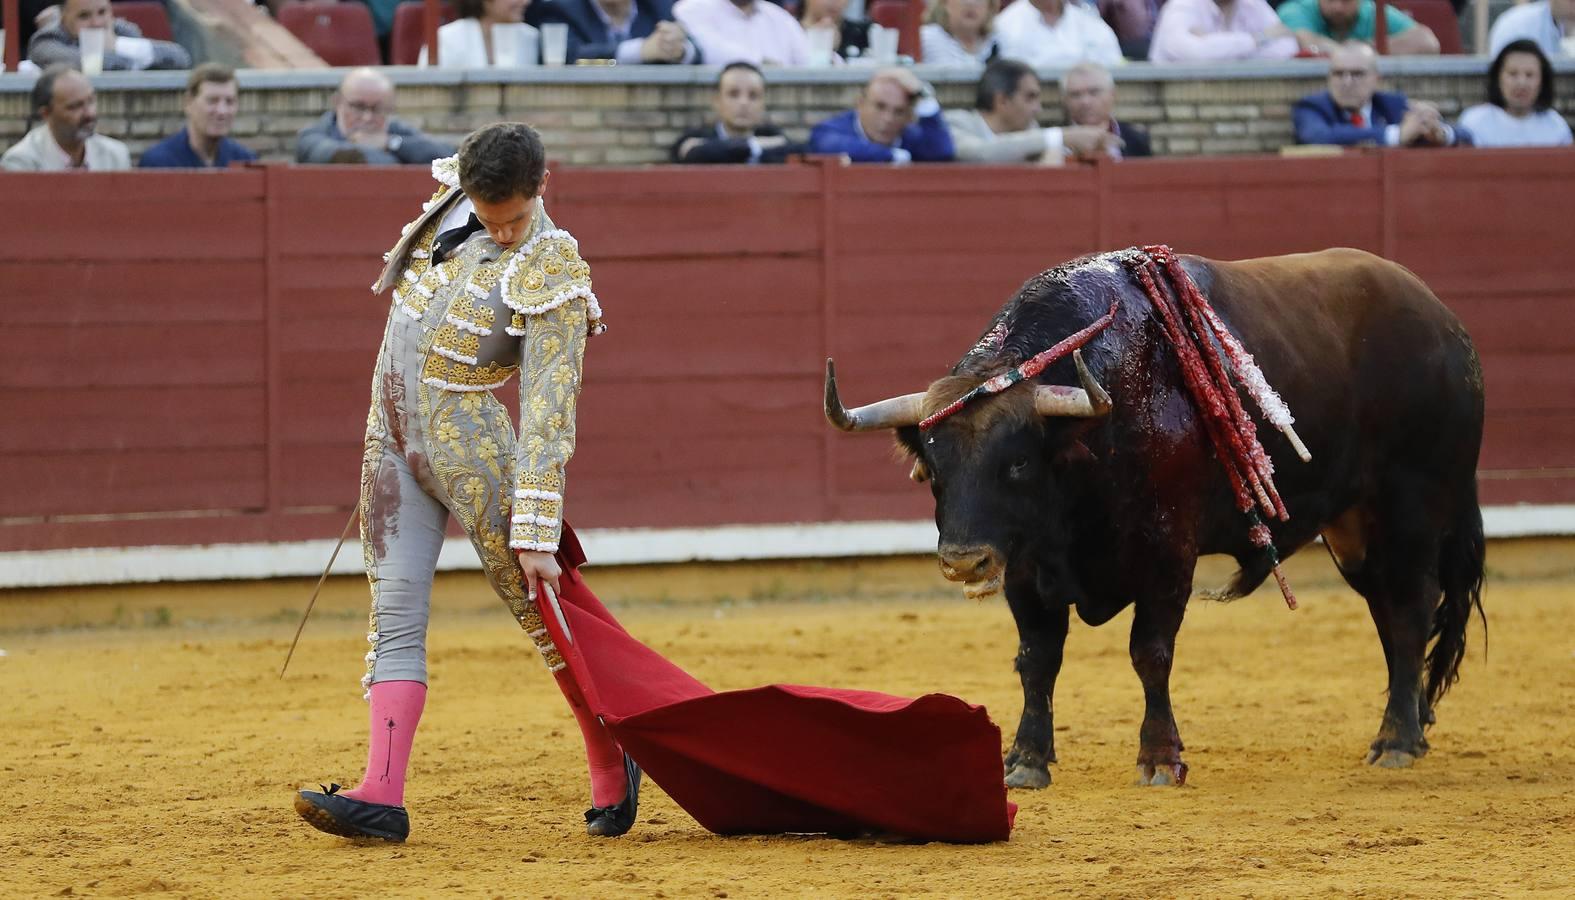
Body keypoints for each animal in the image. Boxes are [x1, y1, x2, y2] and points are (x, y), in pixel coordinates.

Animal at [831, 245, 1480, 788]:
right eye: (932, 467)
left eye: (1016, 463)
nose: (964, 562)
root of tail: (1447, 325)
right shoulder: (1025, 567)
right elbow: (1037, 659)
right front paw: (1025, 760)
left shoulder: (1169, 556)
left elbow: (1151, 652)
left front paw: (1161, 758)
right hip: (1353, 530)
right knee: (1388, 612)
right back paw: (1411, 725)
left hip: (1412, 508)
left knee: (1412, 608)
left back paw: (1396, 740)